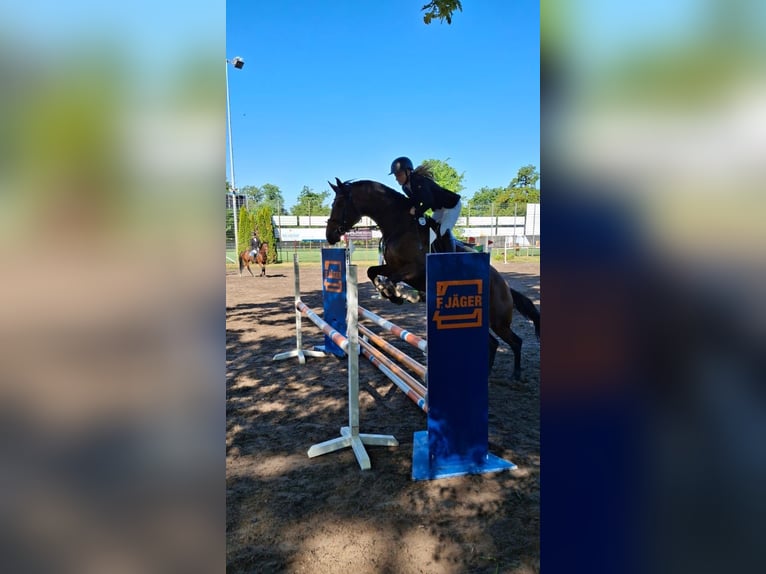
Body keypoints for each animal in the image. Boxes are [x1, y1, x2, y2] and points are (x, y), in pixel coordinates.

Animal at [325, 178, 540, 379]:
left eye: (339, 203)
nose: (329, 236)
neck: (399, 226)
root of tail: (505, 286)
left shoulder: (414, 270)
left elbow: (392, 279)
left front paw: (395, 294)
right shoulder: (392, 266)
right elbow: (372, 271)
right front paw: (391, 295)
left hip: (498, 321)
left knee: (515, 341)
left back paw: (516, 374)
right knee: (493, 343)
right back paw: (486, 374)